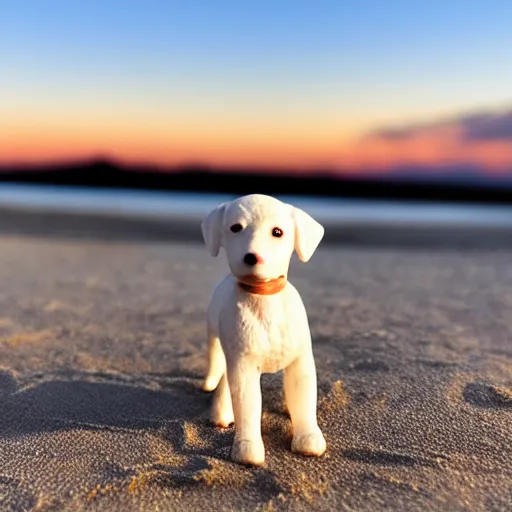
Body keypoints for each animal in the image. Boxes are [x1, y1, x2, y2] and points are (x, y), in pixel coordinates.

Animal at [199, 194, 324, 466]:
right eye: (236, 227)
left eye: (277, 232)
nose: (252, 257)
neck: (262, 296)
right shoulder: (243, 364)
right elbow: (247, 405)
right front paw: (247, 447)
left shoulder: (300, 361)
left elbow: (304, 397)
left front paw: (308, 437)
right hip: (214, 335)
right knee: (218, 366)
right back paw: (218, 403)